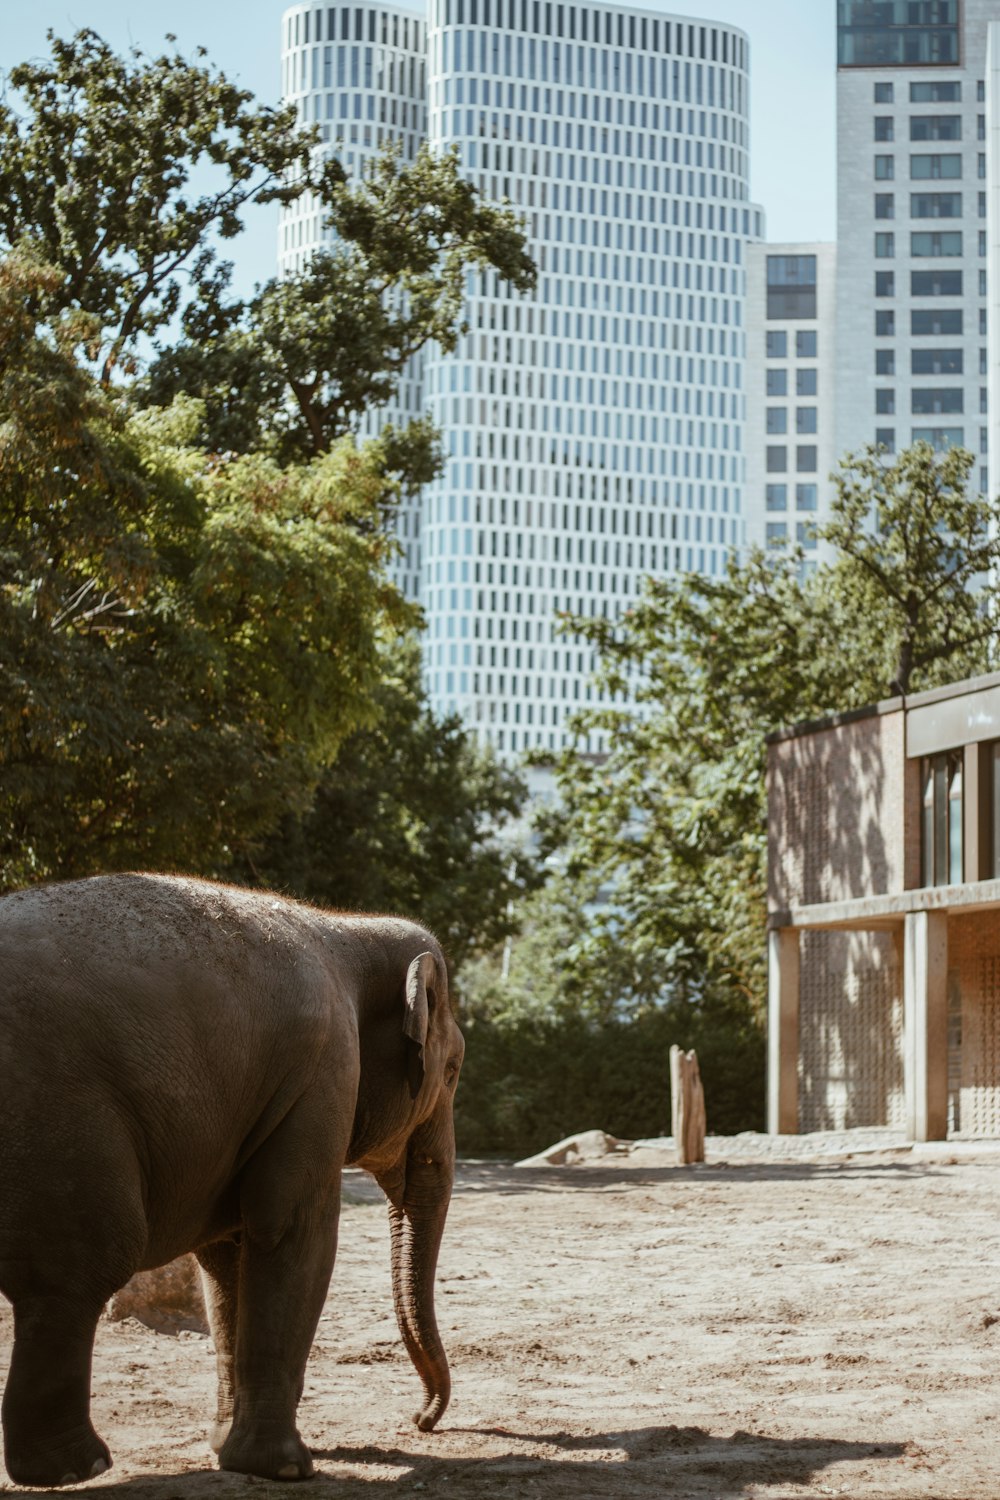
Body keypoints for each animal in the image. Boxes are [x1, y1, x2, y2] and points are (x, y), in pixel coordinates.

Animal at [0, 876, 464, 1482]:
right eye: (452, 1072)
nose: (421, 1420)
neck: (349, 928)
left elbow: (227, 1255)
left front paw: (228, 1451)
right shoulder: (325, 1070)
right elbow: (291, 1230)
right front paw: (285, 1468)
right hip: (57, 1117)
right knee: (82, 1268)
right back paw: (80, 1468)